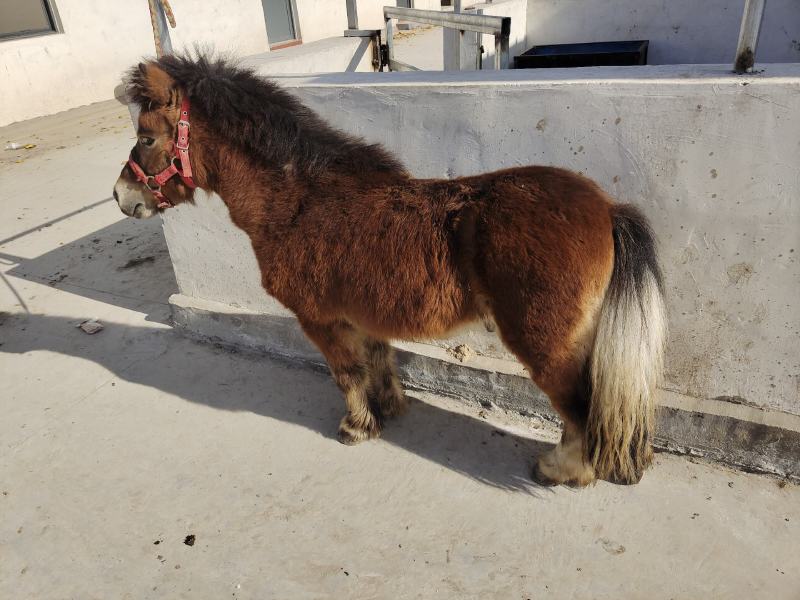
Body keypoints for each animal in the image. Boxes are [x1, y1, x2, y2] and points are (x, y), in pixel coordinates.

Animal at [113, 55, 666, 487]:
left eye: (146, 139)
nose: (122, 196)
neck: (298, 202)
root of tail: (606, 207)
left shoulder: (320, 320)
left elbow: (347, 373)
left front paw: (357, 426)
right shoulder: (363, 314)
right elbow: (377, 361)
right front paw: (390, 408)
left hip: (545, 342)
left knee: (578, 405)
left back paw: (564, 470)